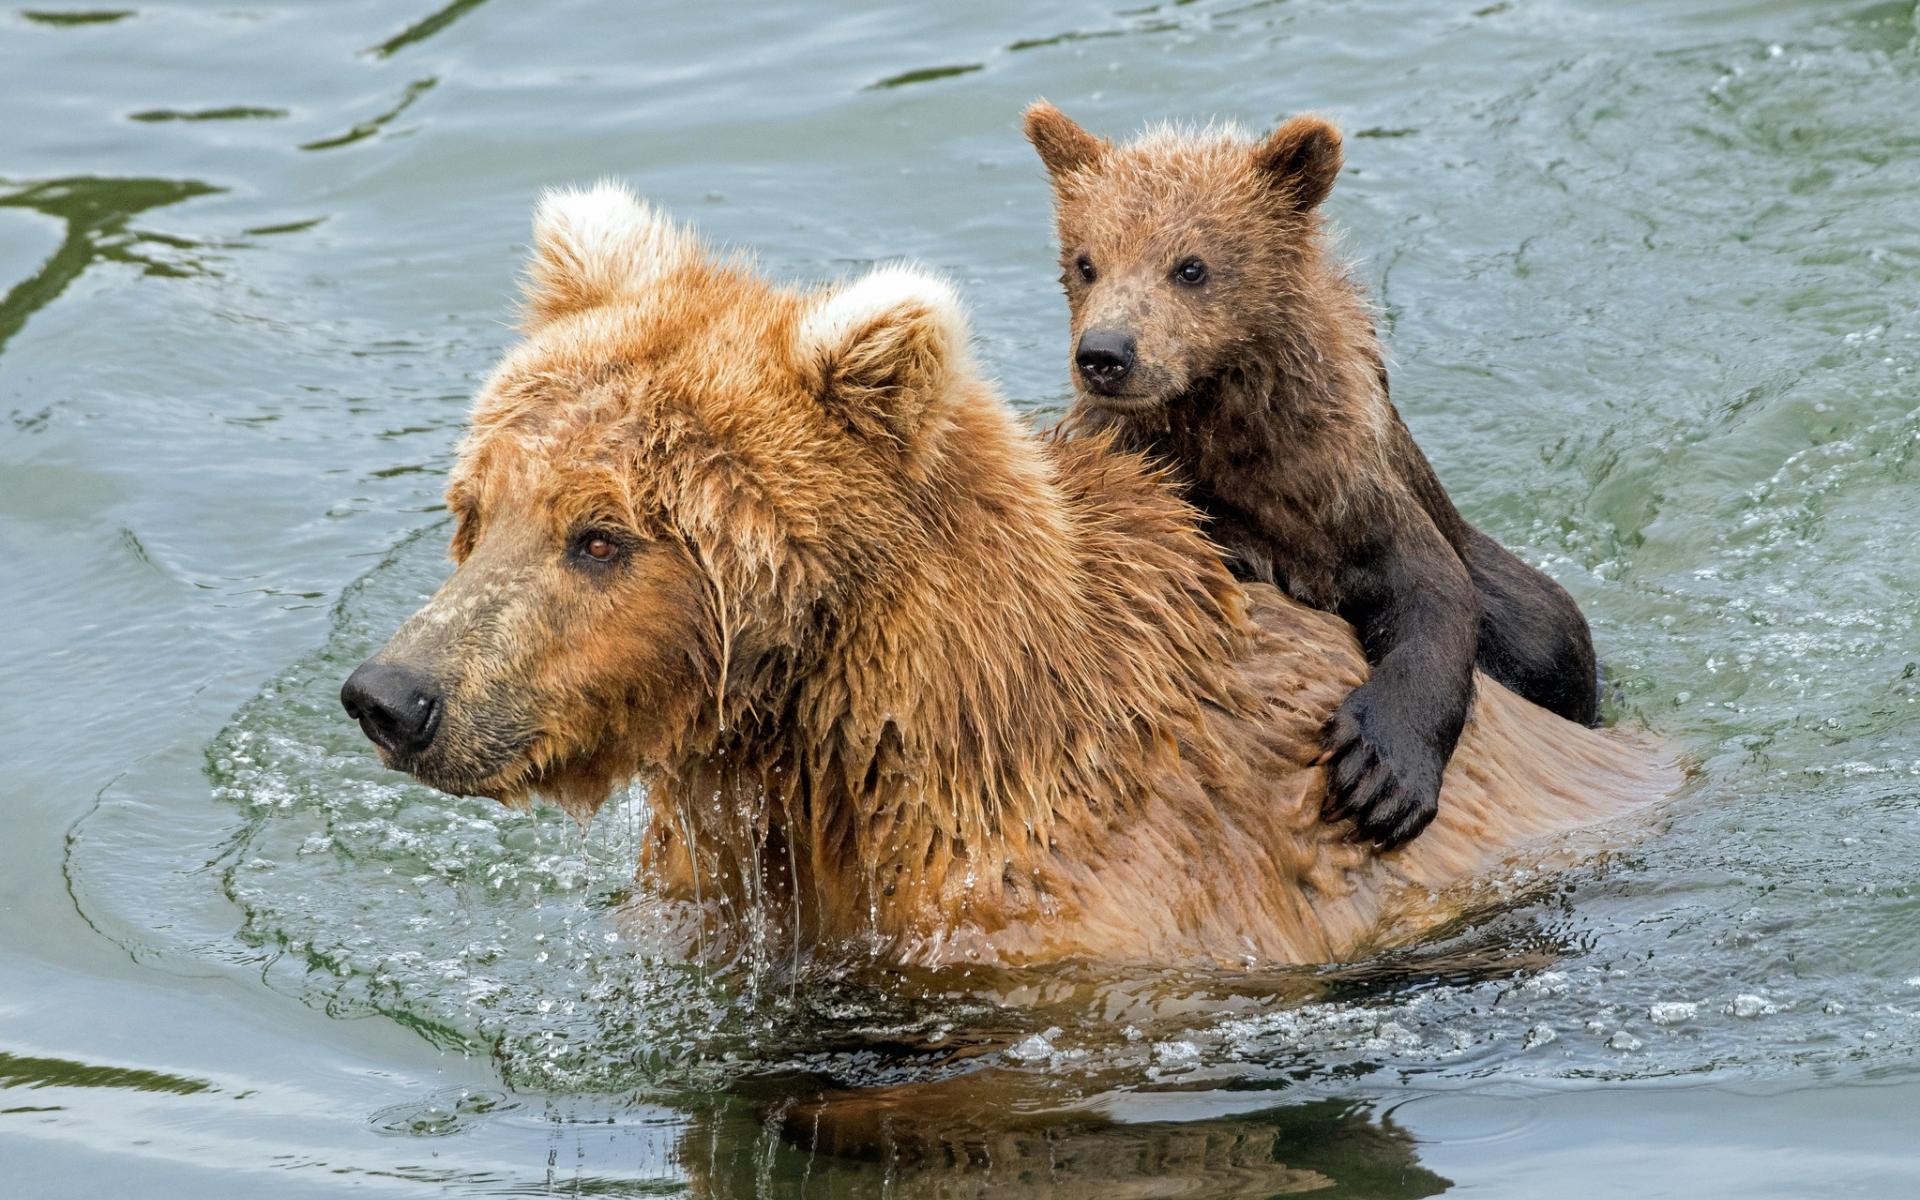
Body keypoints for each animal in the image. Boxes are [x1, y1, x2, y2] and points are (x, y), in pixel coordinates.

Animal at [1023, 102, 1603, 851]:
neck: (1223, 424)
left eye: (1191, 266)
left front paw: (1379, 777)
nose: (1106, 354)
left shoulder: (1343, 489)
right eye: (1086, 261)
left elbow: (1434, 596)